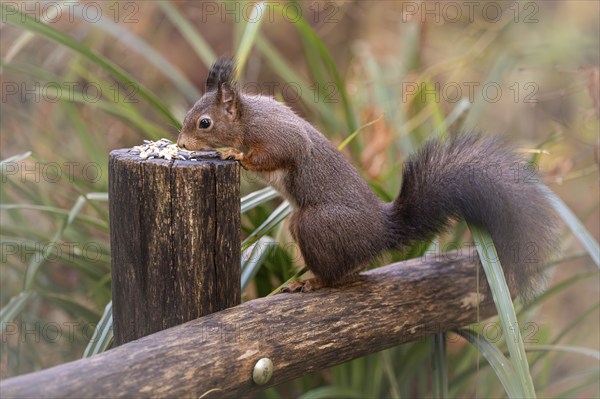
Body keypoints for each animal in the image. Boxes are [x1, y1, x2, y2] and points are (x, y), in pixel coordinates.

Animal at [176, 57, 560, 298]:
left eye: (204, 123)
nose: (180, 144)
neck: (246, 117)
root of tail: (381, 232)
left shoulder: (277, 135)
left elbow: (278, 153)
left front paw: (233, 154)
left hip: (314, 224)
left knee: (333, 273)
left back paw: (312, 282)